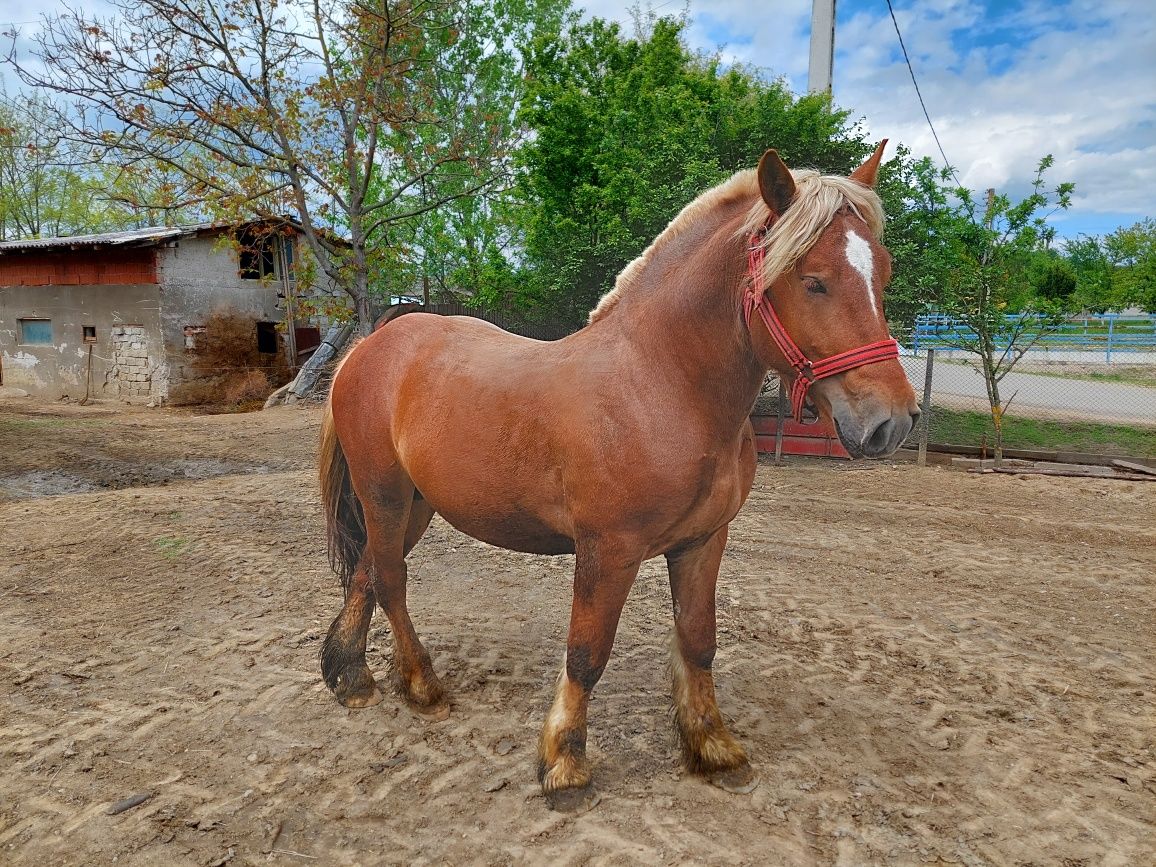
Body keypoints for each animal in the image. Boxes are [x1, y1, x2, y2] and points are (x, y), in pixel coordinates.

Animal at [321, 144, 915, 813]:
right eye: (812, 279)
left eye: (883, 273)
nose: (891, 421)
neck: (660, 385)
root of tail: (367, 348)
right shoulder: (608, 549)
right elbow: (586, 654)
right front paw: (564, 763)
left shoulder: (702, 542)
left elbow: (698, 639)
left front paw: (712, 747)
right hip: (385, 494)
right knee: (390, 580)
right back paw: (421, 687)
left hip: (416, 503)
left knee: (368, 571)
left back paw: (349, 676)